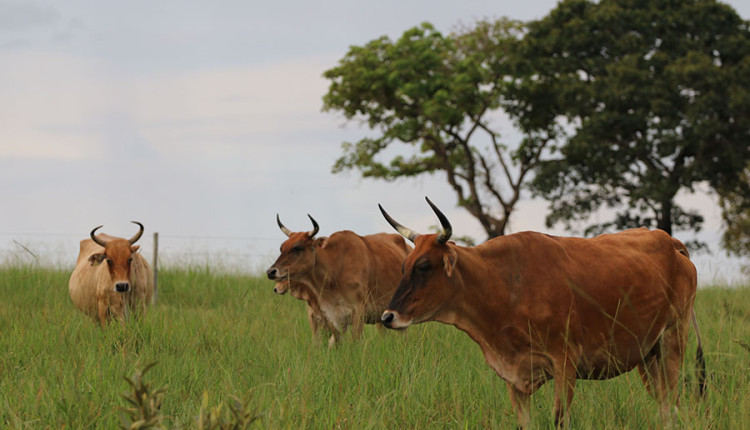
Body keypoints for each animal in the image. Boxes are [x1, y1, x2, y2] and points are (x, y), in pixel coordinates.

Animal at [268, 213, 412, 348]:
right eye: (281, 248)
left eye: (297, 247)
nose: (271, 272)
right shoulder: (329, 316)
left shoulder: (358, 311)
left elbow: (355, 341)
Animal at [382, 198, 704, 426]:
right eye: (404, 265)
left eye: (424, 266)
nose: (388, 317)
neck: (505, 285)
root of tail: (669, 240)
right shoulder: (515, 378)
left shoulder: (565, 365)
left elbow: (559, 419)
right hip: (648, 357)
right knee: (665, 407)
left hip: (673, 341)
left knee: (671, 403)